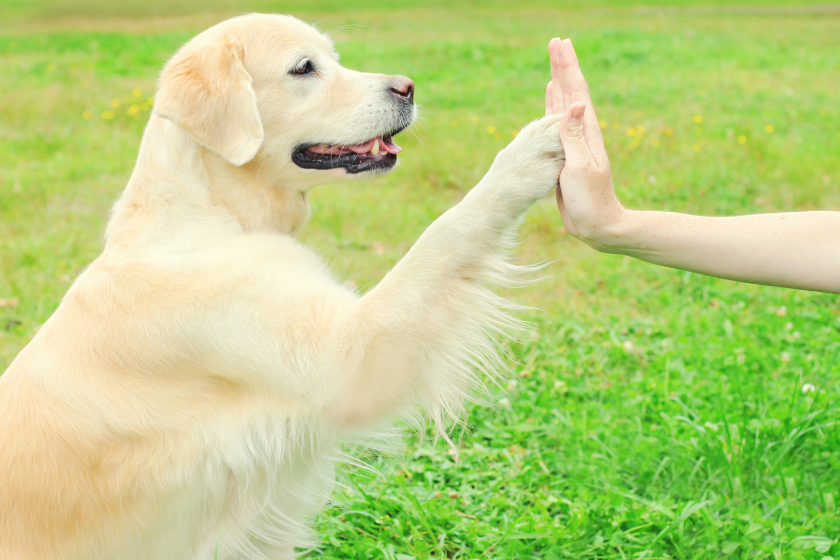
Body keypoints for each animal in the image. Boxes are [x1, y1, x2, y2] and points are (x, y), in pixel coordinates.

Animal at [0, 13, 568, 560]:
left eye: (334, 58)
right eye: (303, 69)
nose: (407, 87)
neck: (210, 211)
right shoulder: (347, 361)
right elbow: (444, 234)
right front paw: (526, 156)